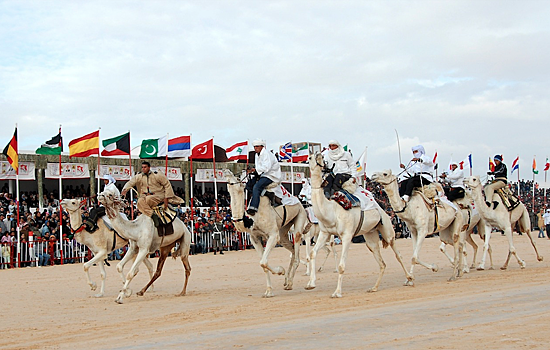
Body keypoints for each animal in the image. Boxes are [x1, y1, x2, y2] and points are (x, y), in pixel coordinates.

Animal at [225, 168, 310, 296]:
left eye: (238, 178)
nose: (226, 171)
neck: (251, 218)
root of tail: (299, 202)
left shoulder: (273, 235)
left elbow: (263, 262)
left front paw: (280, 271)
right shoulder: (254, 238)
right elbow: (263, 264)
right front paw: (269, 291)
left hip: (300, 216)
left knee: (296, 249)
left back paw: (290, 283)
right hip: (283, 232)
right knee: (292, 251)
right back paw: (286, 281)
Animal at [306, 154, 414, 296]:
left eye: (316, 157)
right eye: (310, 158)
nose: (318, 155)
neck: (331, 210)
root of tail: (383, 211)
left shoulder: (347, 235)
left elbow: (341, 266)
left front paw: (337, 292)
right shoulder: (325, 233)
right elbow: (313, 253)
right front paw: (311, 284)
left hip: (388, 231)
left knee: (398, 254)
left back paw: (410, 279)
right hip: (370, 236)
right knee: (382, 263)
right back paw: (374, 288)